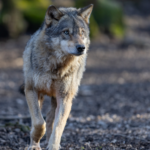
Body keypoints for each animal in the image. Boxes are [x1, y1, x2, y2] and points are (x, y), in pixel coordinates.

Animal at [22, 3, 93, 150]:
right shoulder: (31, 90)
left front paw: (53, 145)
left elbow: (58, 125)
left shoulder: (65, 97)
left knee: (50, 118)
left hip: (57, 98)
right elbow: (38, 122)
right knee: (42, 119)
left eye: (82, 32)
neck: (56, 66)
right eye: (66, 32)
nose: (81, 48)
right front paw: (34, 143)